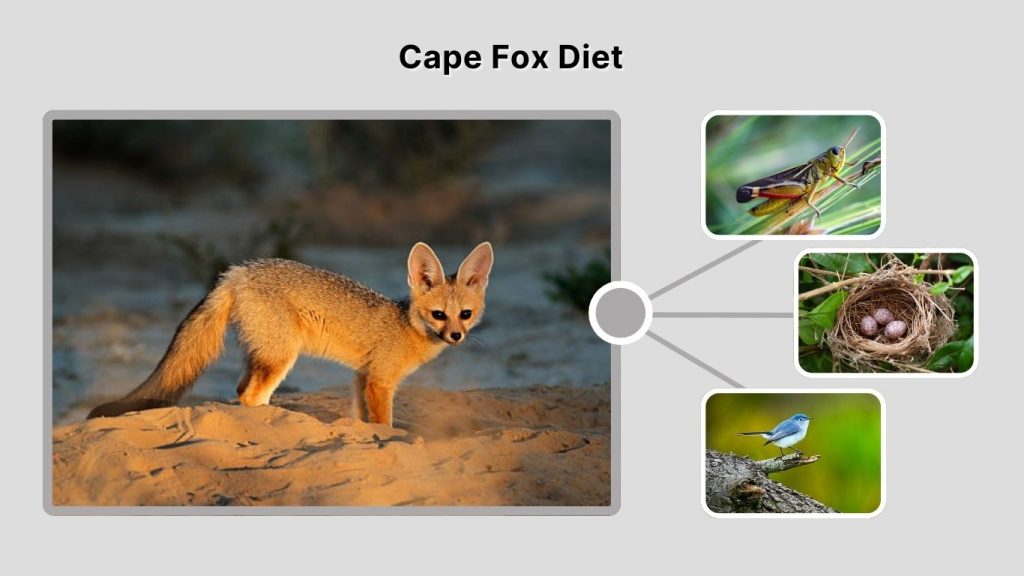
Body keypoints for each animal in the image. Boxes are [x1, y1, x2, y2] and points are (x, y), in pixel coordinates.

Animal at [87, 241, 494, 426]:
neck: (406, 323)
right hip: (282, 356)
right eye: (438, 315)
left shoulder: (362, 376)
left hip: (263, 353)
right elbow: (383, 423)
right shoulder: (380, 380)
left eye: (465, 315)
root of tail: (237, 271)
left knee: (240, 391)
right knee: (249, 397)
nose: (456, 337)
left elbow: (362, 418)